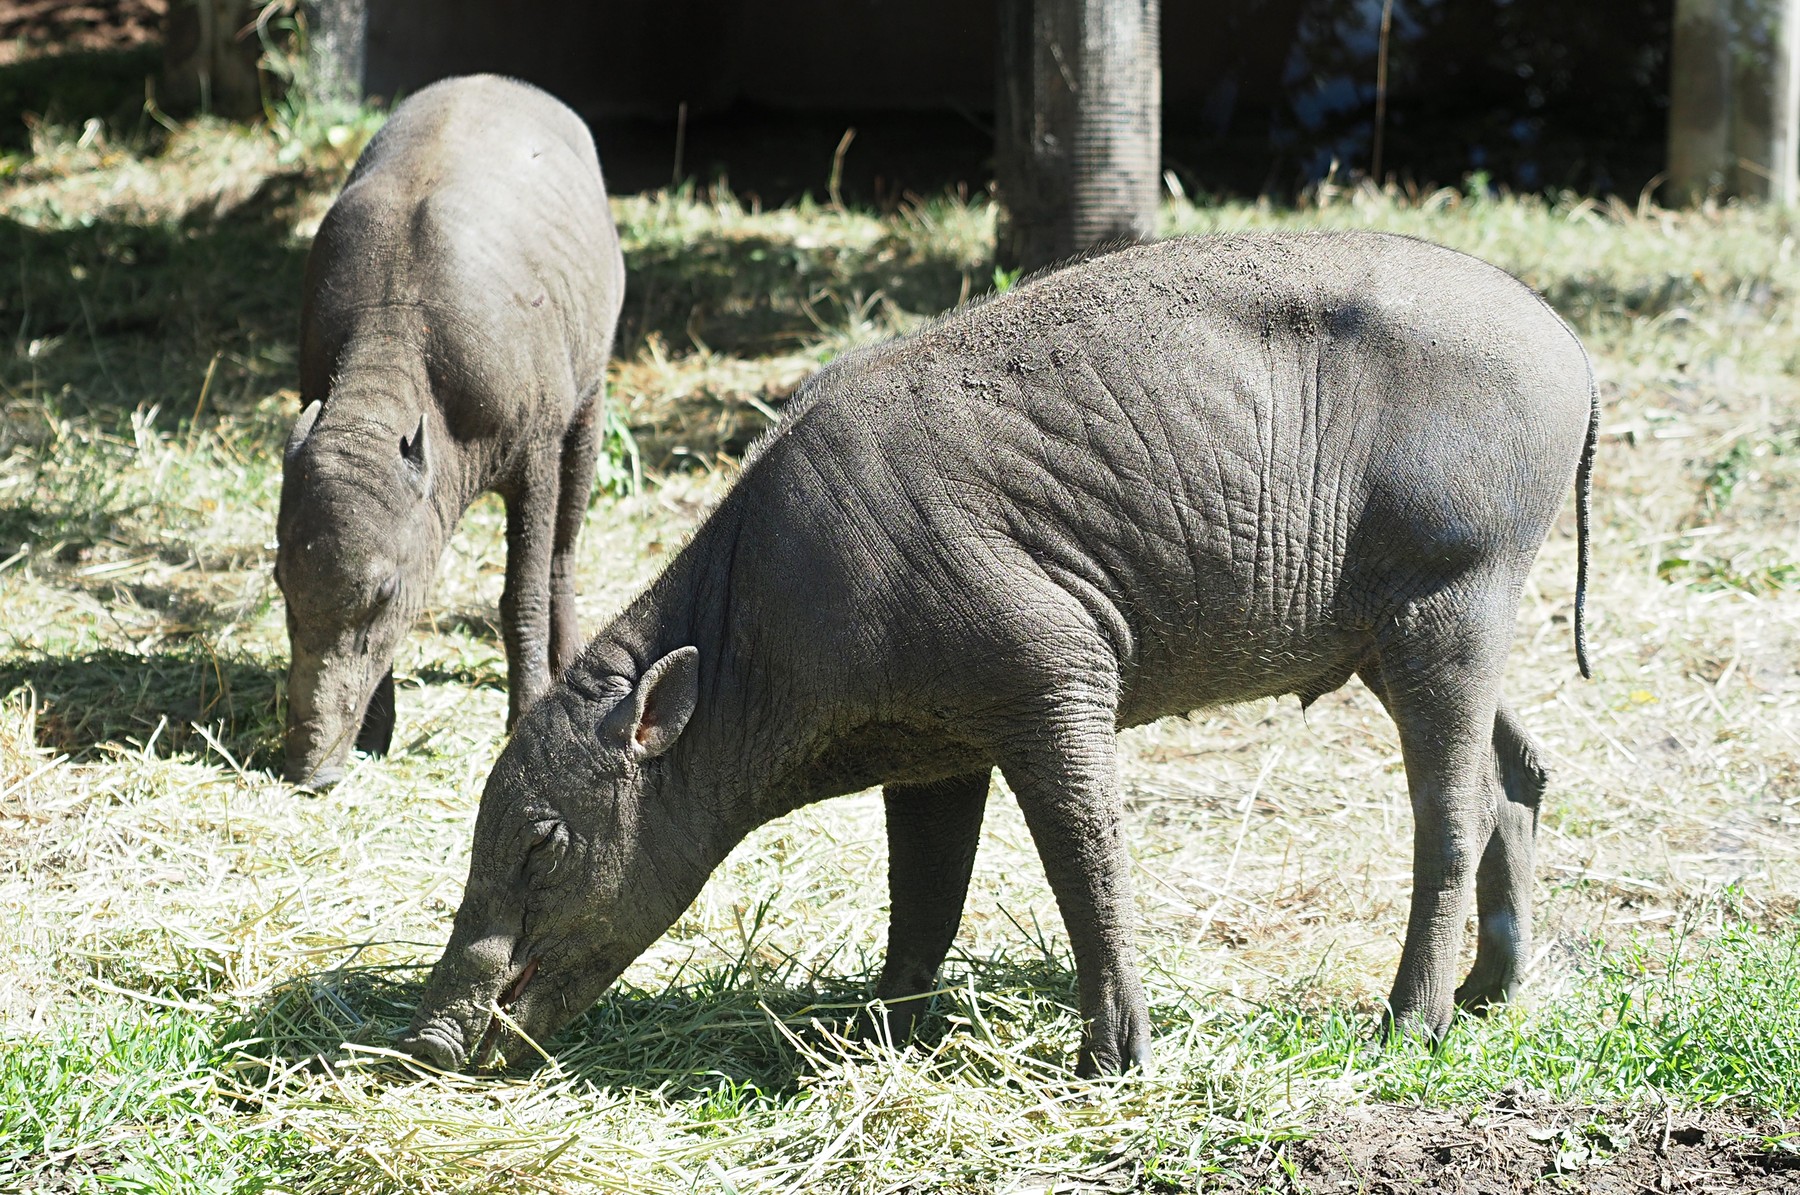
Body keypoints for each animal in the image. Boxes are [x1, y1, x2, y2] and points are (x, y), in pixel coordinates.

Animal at [276, 74, 625, 787]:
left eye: (382, 592)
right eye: (280, 586)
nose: (306, 768)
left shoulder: (536, 456)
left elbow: (522, 593)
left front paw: (525, 715)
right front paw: (374, 734)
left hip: (589, 406)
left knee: (564, 551)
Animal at [402, 231, 1597, 1076]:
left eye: (540, 842)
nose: (423, 1042)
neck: (761, 622)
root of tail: (1572, 352)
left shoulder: (1051, 675)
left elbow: (1087, 862)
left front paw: (1114, 1060)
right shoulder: (934, 752)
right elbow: (925, 894)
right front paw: (873, 1035)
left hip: (1454, 594)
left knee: (1452, 814)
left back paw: (1407, 1026)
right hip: (1404, 636)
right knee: (1522, 771)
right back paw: (1493, 993)